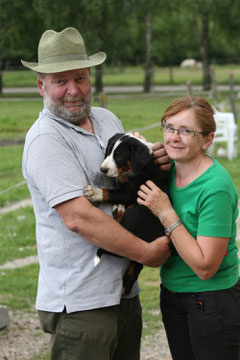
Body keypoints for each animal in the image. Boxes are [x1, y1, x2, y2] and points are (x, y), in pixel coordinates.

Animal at [83, 133, 170, 296]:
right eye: (109, 151)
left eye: (119, 156)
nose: (103, 169)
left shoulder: (132, 192)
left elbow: (111, 192)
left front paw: (95, 192)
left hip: (137, 211)